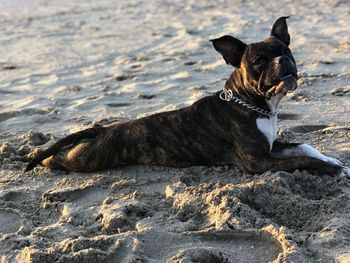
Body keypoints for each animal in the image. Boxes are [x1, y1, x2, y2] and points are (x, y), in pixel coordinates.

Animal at [25, 17, 350, 177]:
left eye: (286, 51)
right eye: (259, 61)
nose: (283, 62)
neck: (255, 104)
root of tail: (101, 128)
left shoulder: (271, 148)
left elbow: (305, 147)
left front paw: (336, 161)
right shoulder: (258, 162)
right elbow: (303, 161)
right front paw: (334, 169)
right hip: (85, 158)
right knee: (57, 158)